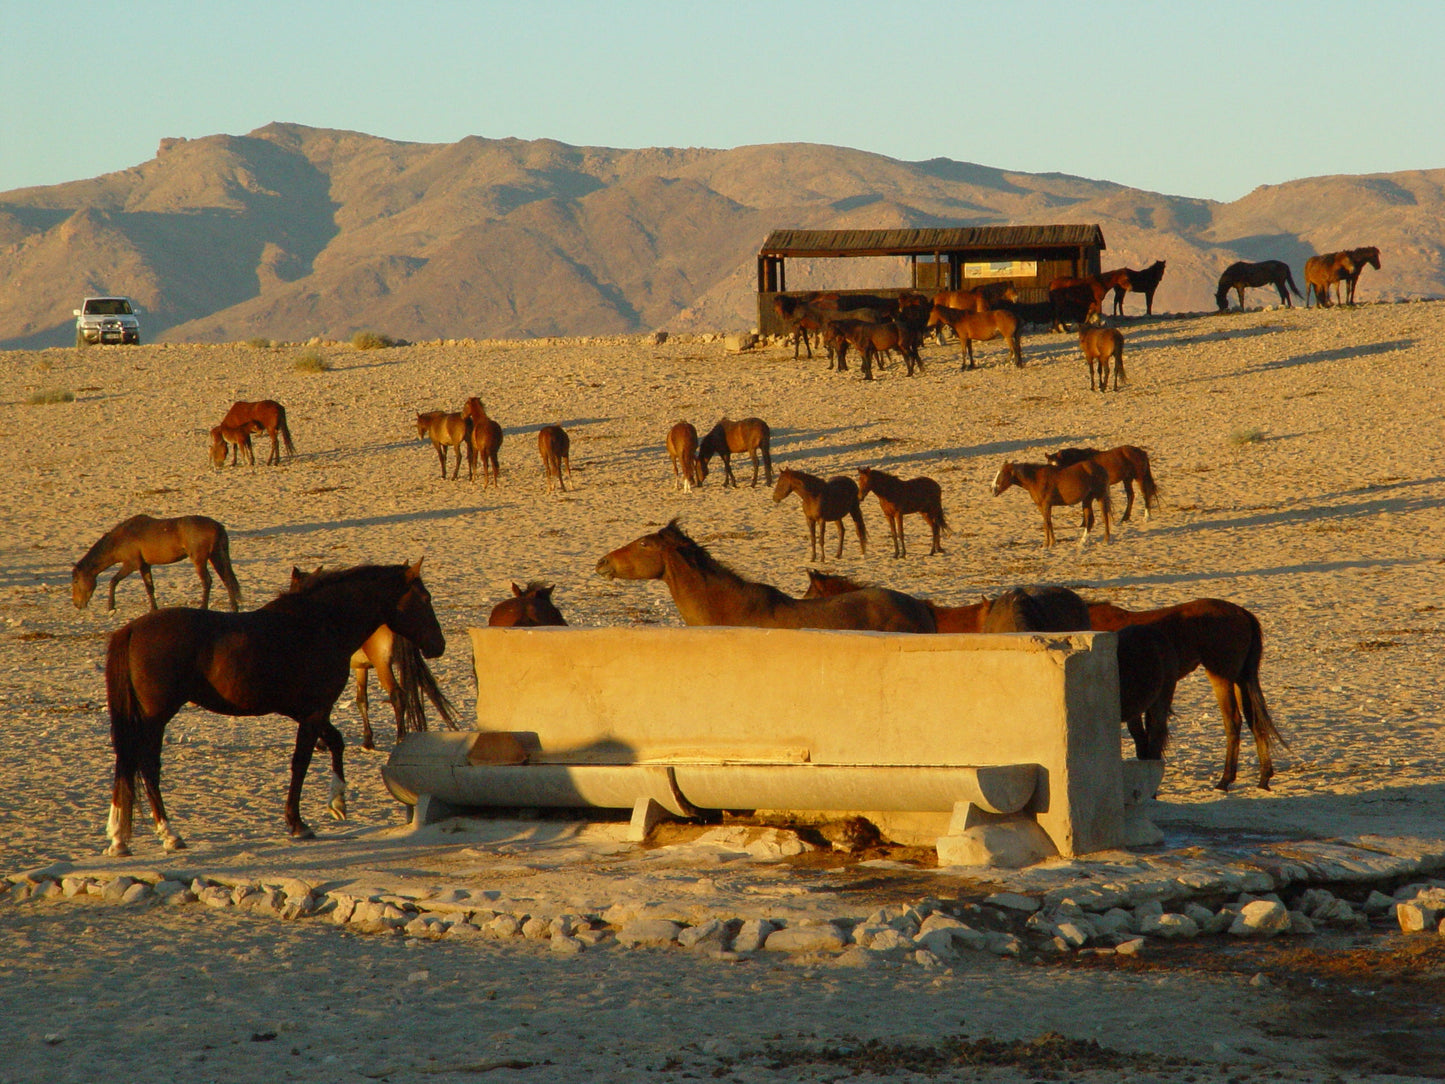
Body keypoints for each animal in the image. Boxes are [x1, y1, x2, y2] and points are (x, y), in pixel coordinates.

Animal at [73, 514, 242, 613]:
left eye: (75, 581)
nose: (76, 604)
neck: (121, 538)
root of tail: (218, 526)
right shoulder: (144, 565)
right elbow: (150, 588)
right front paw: (154, 609)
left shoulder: (131, 564)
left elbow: (113, 581)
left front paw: (111, 607)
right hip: (216, 557)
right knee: (227, 580)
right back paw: (234, 608)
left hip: (199, 560)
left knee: (207, 581)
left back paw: (203, 607)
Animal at [288, 568, 458, 752]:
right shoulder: (361, 668)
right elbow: (362, 700)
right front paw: (368, 740)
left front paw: (321, 743)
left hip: (383, 665)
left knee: (397, 695)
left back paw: (400, 739)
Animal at [1090, 597, 1284, 790]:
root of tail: (1243, 613)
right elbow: (1140, 736)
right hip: (1241, 679)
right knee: (1255, 721)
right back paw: (1263, 778)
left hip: (1222, 677)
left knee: (1233, 721)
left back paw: (1225, 780)